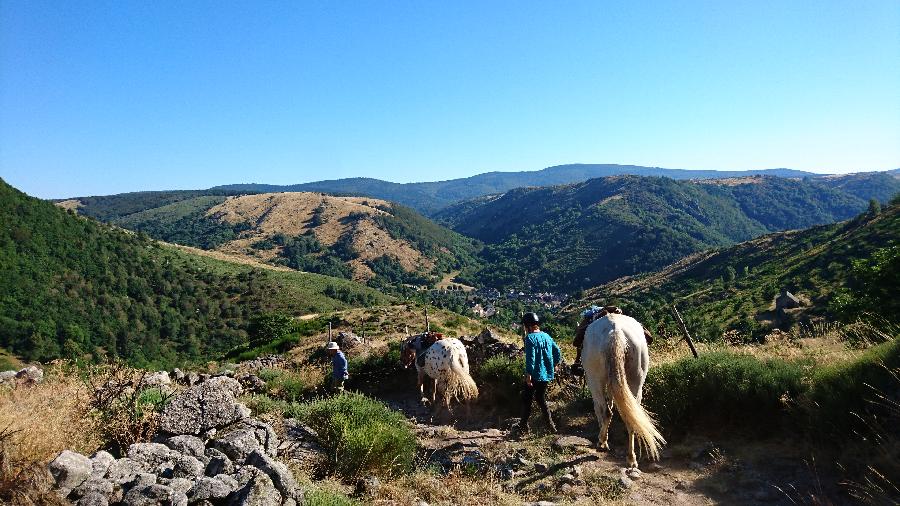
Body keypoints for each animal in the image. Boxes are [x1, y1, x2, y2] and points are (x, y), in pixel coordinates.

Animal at [580, 312, 664, 470]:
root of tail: (615, 330)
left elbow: (599, 409)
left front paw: (604, 440)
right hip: (636, 380)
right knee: (631, 416)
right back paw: (631, 459)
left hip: (595, 380)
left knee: (606, 411)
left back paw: (601, 442)